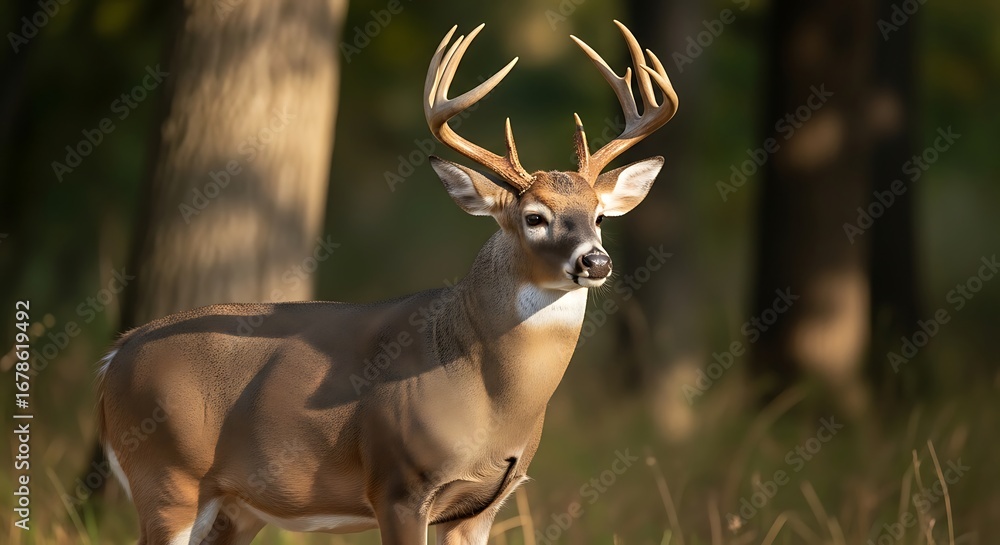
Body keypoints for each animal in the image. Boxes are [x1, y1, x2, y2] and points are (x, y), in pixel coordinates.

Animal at [96, 20, 677, 545]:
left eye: (599, 216)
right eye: (535, 217)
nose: (596, 262)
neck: (490, 396)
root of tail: (113, 358)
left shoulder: (482, 506)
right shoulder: (398, 484)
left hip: (235, 507)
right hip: (167, 477)